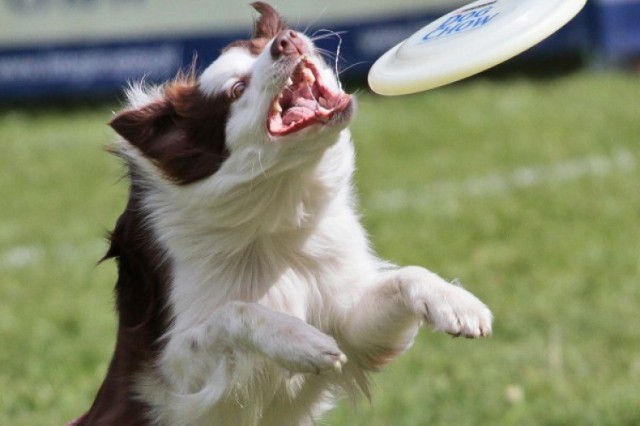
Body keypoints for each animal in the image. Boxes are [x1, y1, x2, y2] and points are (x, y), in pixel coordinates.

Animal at [75, 2, 492, 422]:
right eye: (237, 89)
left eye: (259, 48)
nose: (286, 40)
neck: (272, 215)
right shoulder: (172, 375)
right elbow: (235, 311)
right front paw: (300, 340)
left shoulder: (353, 326)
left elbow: (406, 277)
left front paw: (457, 303)